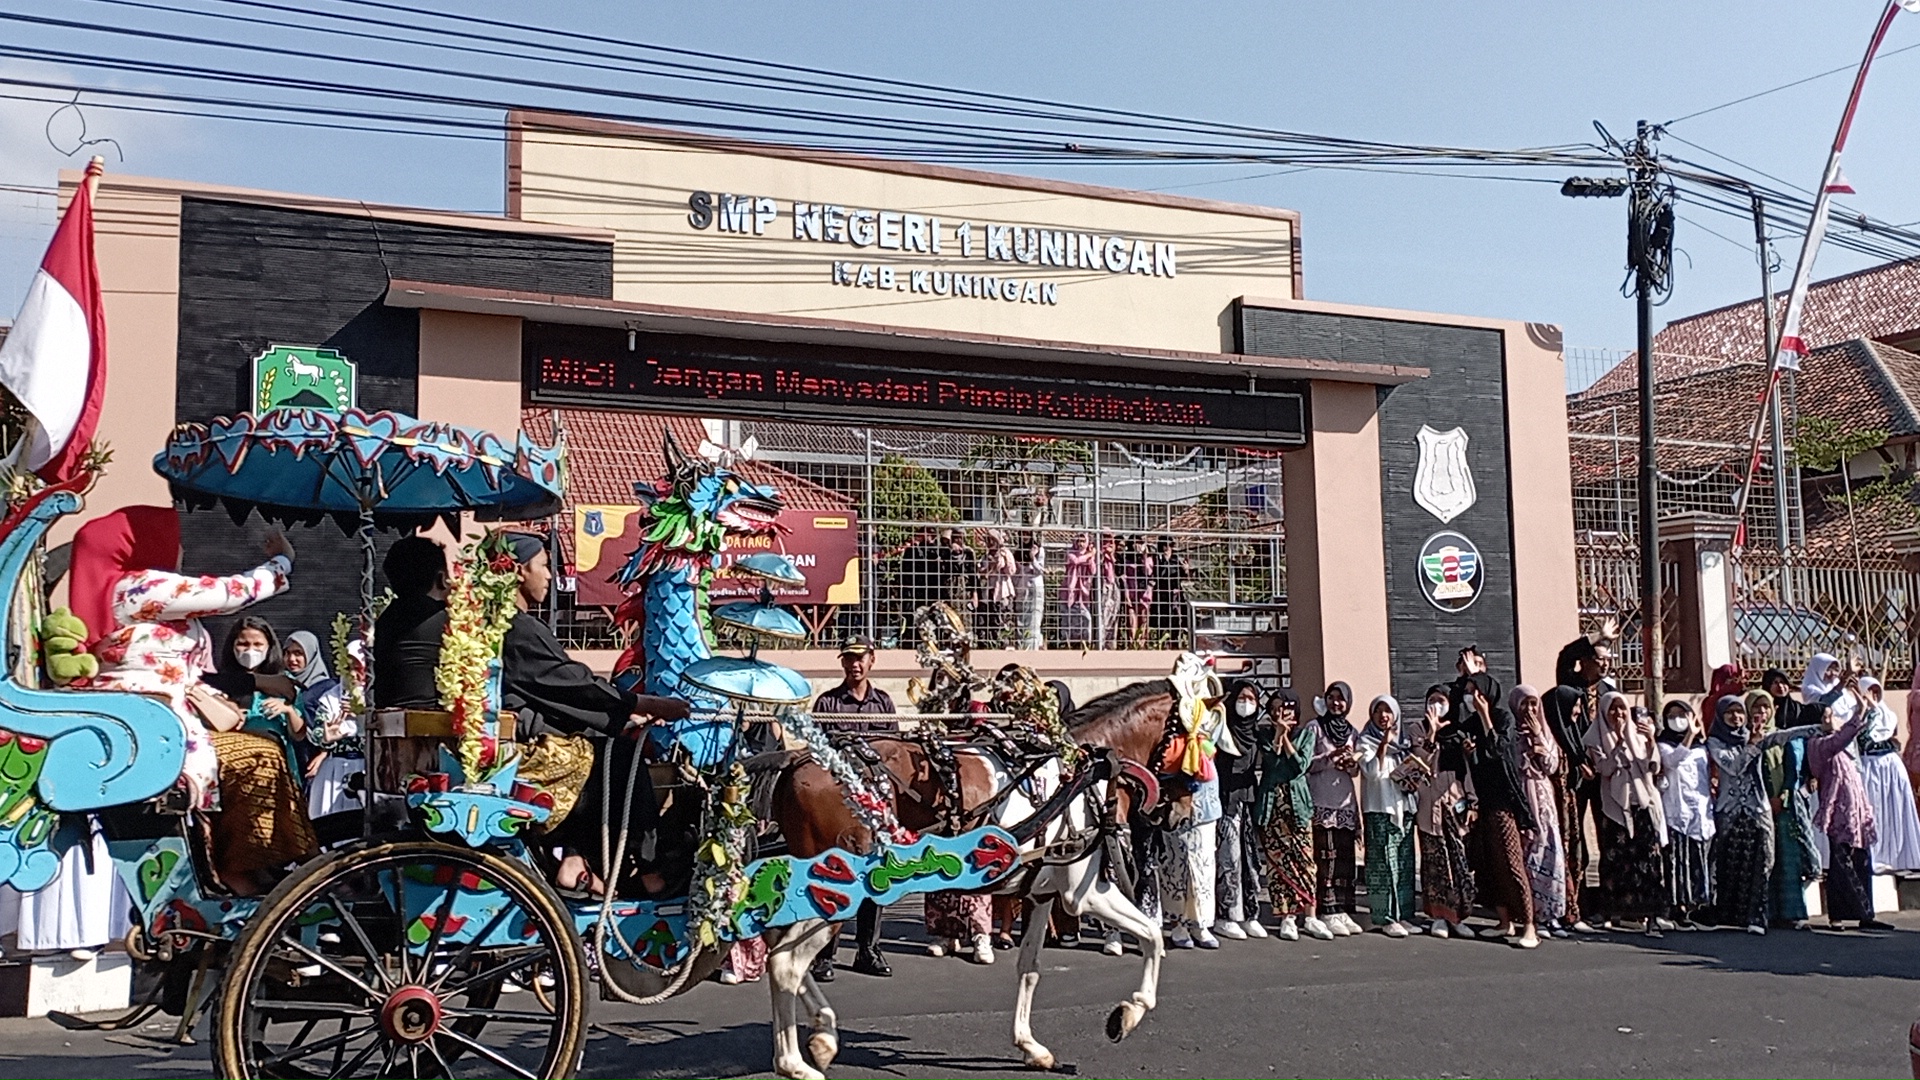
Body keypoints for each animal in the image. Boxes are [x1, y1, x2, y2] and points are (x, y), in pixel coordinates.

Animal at [756, 676, 1175, 1068]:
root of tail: (796, 763)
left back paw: (821, 1034)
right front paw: (1127, 1014)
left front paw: (1030, 1044)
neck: (1083, 774)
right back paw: (795, 1061)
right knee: (785, 963)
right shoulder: (1082, 894)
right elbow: (1152, 935)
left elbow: (1030, 967)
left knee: (779, 952)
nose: (1176, 815)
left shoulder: (1041, 893)